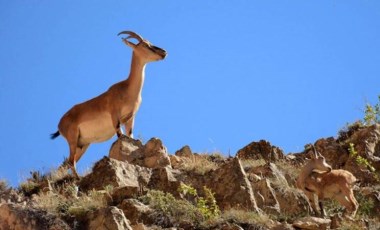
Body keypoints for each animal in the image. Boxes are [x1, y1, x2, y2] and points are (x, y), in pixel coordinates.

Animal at [50, 30, 166, 178]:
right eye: (145, 45)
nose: (164, 52)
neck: (127, 89)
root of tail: (60, 125)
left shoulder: (130, 118)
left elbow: (130, 136)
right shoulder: (115, 116)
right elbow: (120, 136)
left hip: (82, 145)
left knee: (67, 163)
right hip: (73, 139)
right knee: (70, 162)